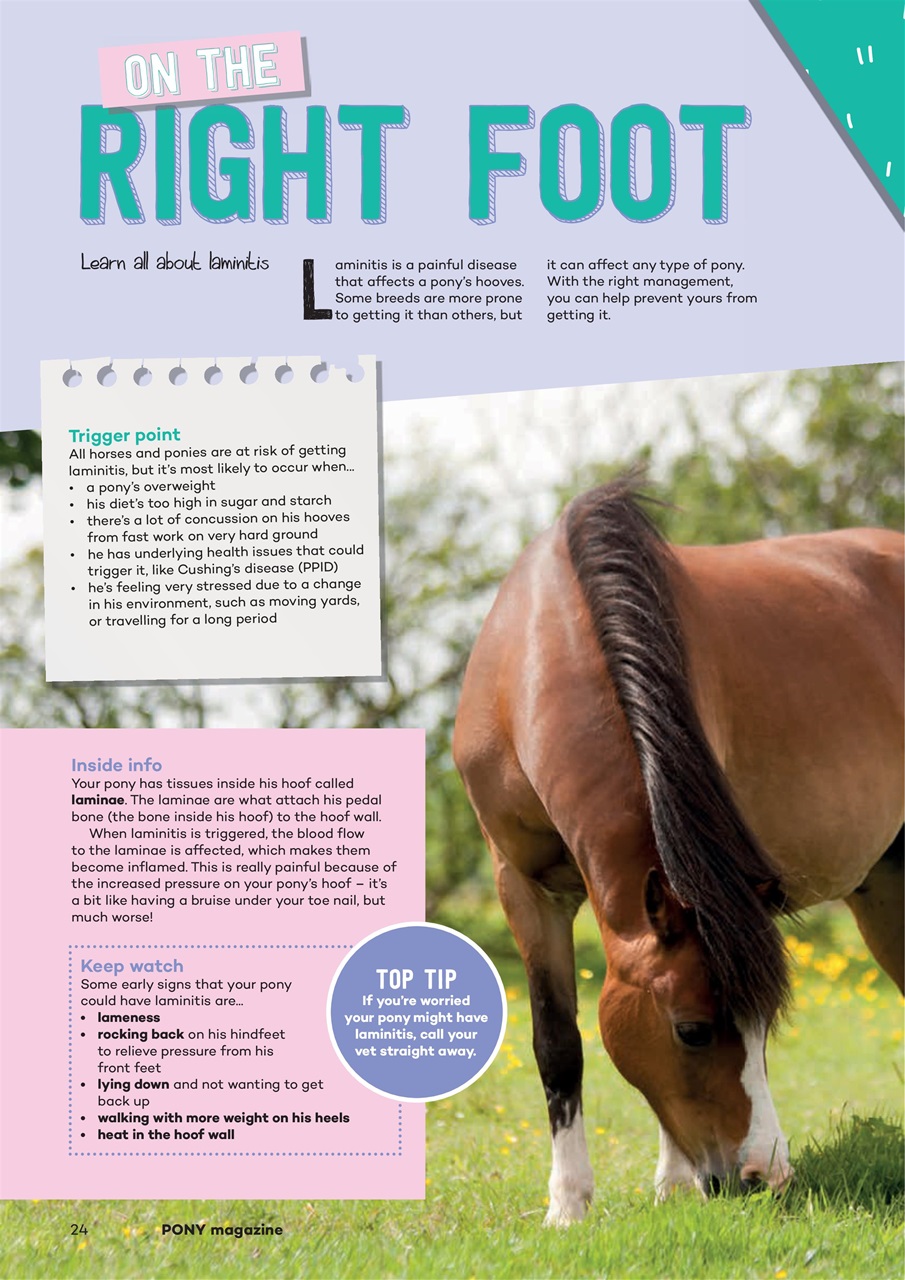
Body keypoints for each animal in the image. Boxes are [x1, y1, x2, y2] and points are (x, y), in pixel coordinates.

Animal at [453, 475, 904, 1225]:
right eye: (692, 1030)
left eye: (762, 1027)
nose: (763, 1176)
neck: (536, 647)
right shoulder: (521, 884)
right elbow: (557, 1043)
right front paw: (570, 1205)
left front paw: (671, 1181)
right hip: (881, 887)